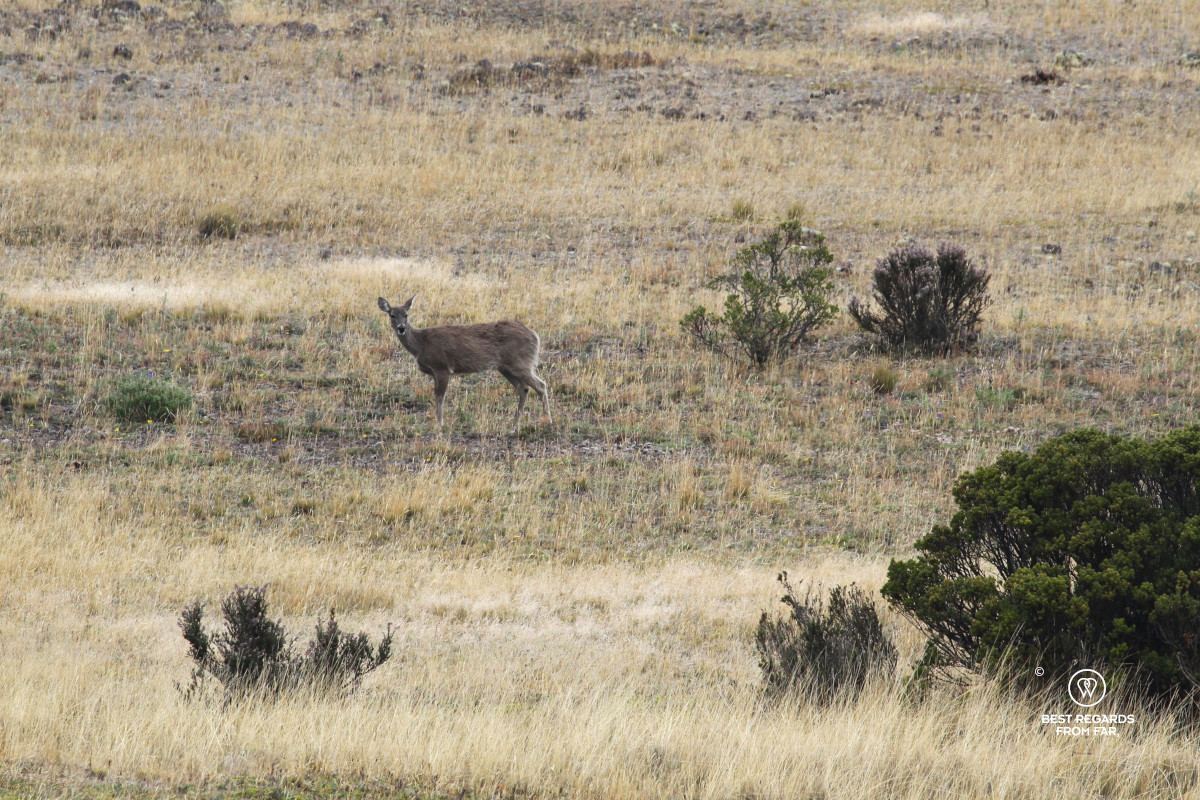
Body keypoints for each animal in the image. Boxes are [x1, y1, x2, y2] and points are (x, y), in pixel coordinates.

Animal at [377, 295, 552, 433]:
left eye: (406, 315)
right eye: (392, 315)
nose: (401, 328)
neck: (421, 344)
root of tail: (535, 336)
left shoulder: (442, 367)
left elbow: (440, 396)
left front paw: (440, 424)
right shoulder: (435, 372)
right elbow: (437, 395)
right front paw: (439, 422)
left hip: (521, 362)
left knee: (541, 385)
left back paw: (547, 421)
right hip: (506, 367)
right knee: (524, 389)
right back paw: (515, 423)